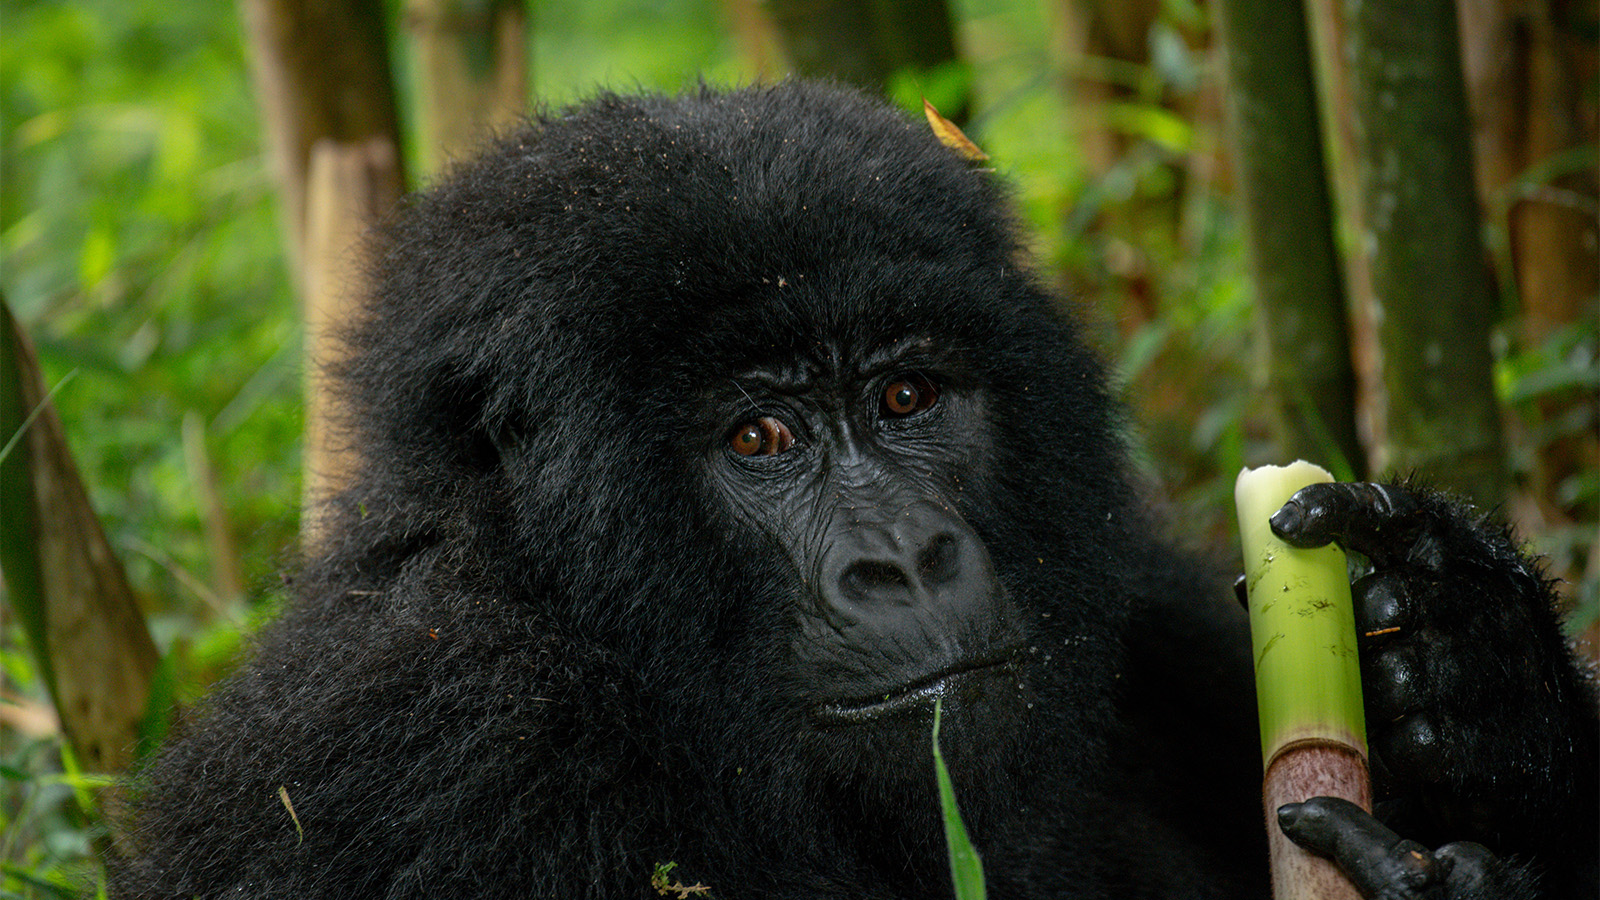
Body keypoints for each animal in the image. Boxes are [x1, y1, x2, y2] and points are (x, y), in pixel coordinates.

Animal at [106, 80, 1593, 890]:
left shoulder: (1134, 592)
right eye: (759, 440)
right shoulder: (425, 733)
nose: (905, 560)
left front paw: (1473, 661)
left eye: (904, 399)